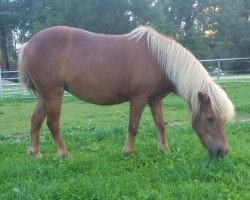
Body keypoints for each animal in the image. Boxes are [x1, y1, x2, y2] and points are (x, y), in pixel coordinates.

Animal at [18, 26, 234, 158]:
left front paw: (164, 149)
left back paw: (35, 154)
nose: (222, 152)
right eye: (209, 119)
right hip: (54, 94)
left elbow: (160, 125)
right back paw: (64, 154)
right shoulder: (139, 98)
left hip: (45, 96)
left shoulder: (155, 100)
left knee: (35, 121)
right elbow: (133, 126)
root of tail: (28, 44)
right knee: (53, 123)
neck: (159, 59)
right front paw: (128, 152)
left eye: (224, 120)